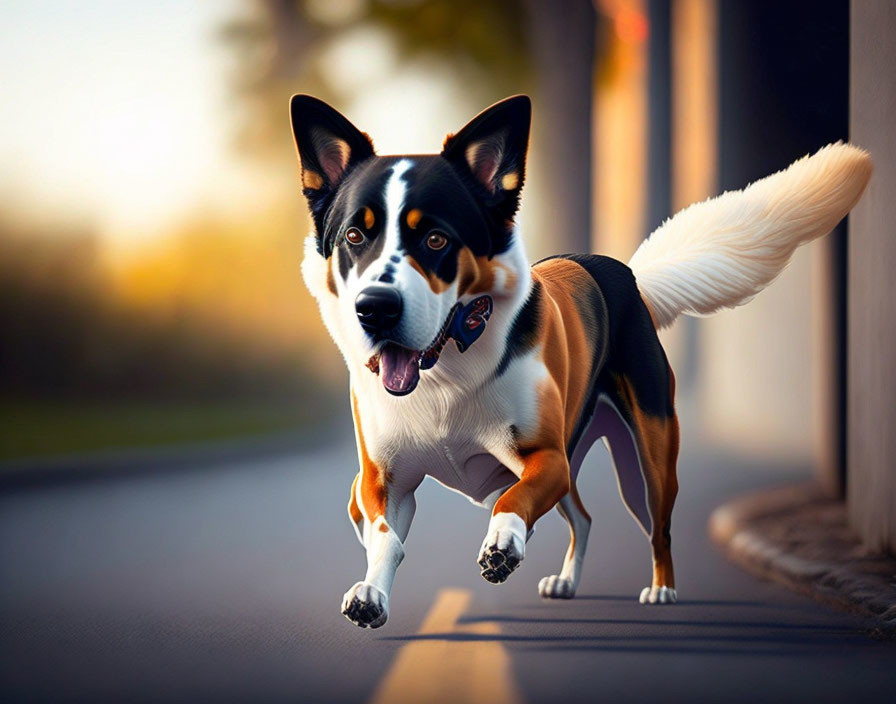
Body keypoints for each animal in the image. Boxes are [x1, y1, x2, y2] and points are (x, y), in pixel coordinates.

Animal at [290, 92, 872, 628]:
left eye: (436, 239)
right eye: (354, 236)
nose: (375, 309)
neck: (445, 377)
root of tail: (628, 275)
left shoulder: (545, 458)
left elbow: (511, 501)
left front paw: (501, 545)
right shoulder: (378, 481)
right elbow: (382, 535)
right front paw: (371, 593)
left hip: (647, 455)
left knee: (657, 524)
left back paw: (661, 589)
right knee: (585, 516)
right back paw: (566, 581)